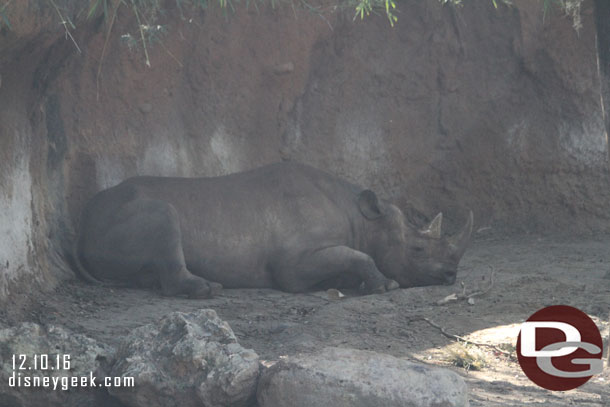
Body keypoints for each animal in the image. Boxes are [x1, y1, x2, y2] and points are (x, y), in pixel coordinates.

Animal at [73, 161, 472, 298]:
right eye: (417, 250)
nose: (451, 276)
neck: (361, 218)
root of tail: (81, 225)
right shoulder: (292, 263)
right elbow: (355, 256)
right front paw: (383, 285)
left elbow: (349, 257)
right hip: (123, 215)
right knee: (164, 215)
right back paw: (207, 291)